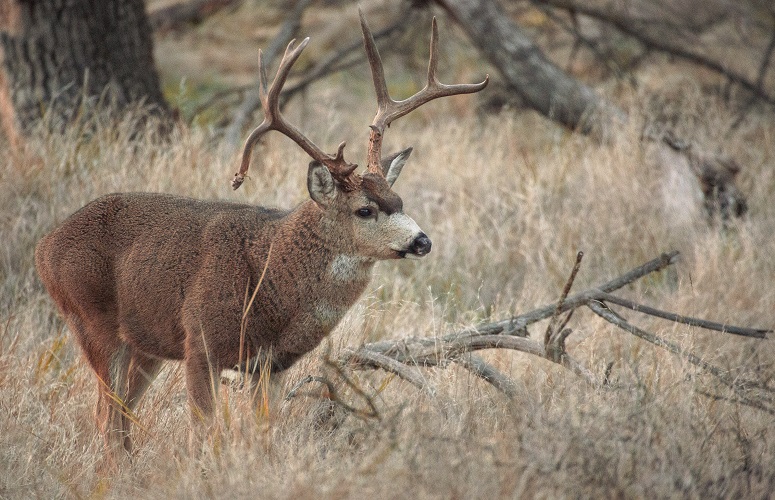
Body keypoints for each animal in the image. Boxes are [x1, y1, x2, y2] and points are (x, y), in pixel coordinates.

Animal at [34, 11, 488, 458]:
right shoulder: (200, 342)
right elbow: (205, 434)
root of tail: (44, 247)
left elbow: (264, 432)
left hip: (146, 343)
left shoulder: (270, 365)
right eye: (365, 210)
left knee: (122, 415)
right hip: (91, 320)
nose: (422, 241)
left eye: (400, 199)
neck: (271, 278)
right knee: (106, 418)